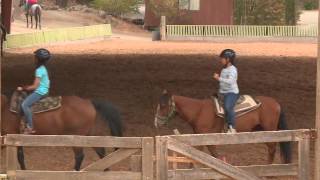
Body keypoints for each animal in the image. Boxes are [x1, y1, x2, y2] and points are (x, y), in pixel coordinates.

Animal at [155, 90, 292, 164]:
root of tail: (276, 103)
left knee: (272, 149)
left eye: (163, 105)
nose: (156, 122)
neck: (199, 110)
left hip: (270, 131)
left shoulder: (204, 138)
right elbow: (211, 155)